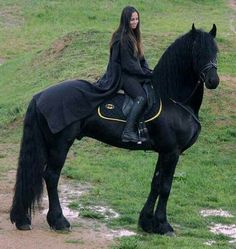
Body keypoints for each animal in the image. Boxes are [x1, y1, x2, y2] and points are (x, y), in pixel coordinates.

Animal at [9, 23, 219, 235]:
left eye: (215, 51)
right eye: (198, 51)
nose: (213, 81)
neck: (172, 99)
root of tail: (40, 96)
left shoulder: (163, 151)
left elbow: (156, 183)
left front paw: (147, 222)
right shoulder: (172, 152)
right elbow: (166, 187)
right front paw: (163, 224)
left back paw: (25, 219)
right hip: (60, 144)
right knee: (51, 176)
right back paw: (59, 221)